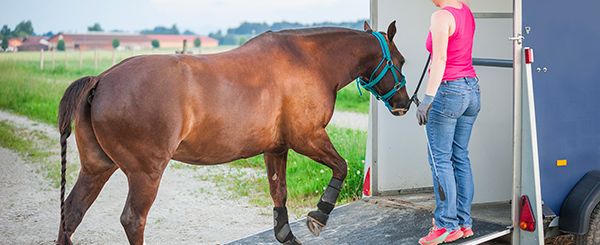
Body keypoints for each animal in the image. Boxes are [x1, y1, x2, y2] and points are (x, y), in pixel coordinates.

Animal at [56, 21, 410, 245]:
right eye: (401, 61)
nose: (404, 104)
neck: (309, 60)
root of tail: (101, 79)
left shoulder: (276, 148)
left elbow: (279, 194)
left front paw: (287, 234)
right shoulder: (307, 137)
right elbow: (341, 166)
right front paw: (319, 215)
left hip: (97, 167)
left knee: (71, 213)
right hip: (145, 173)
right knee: (133, 220)